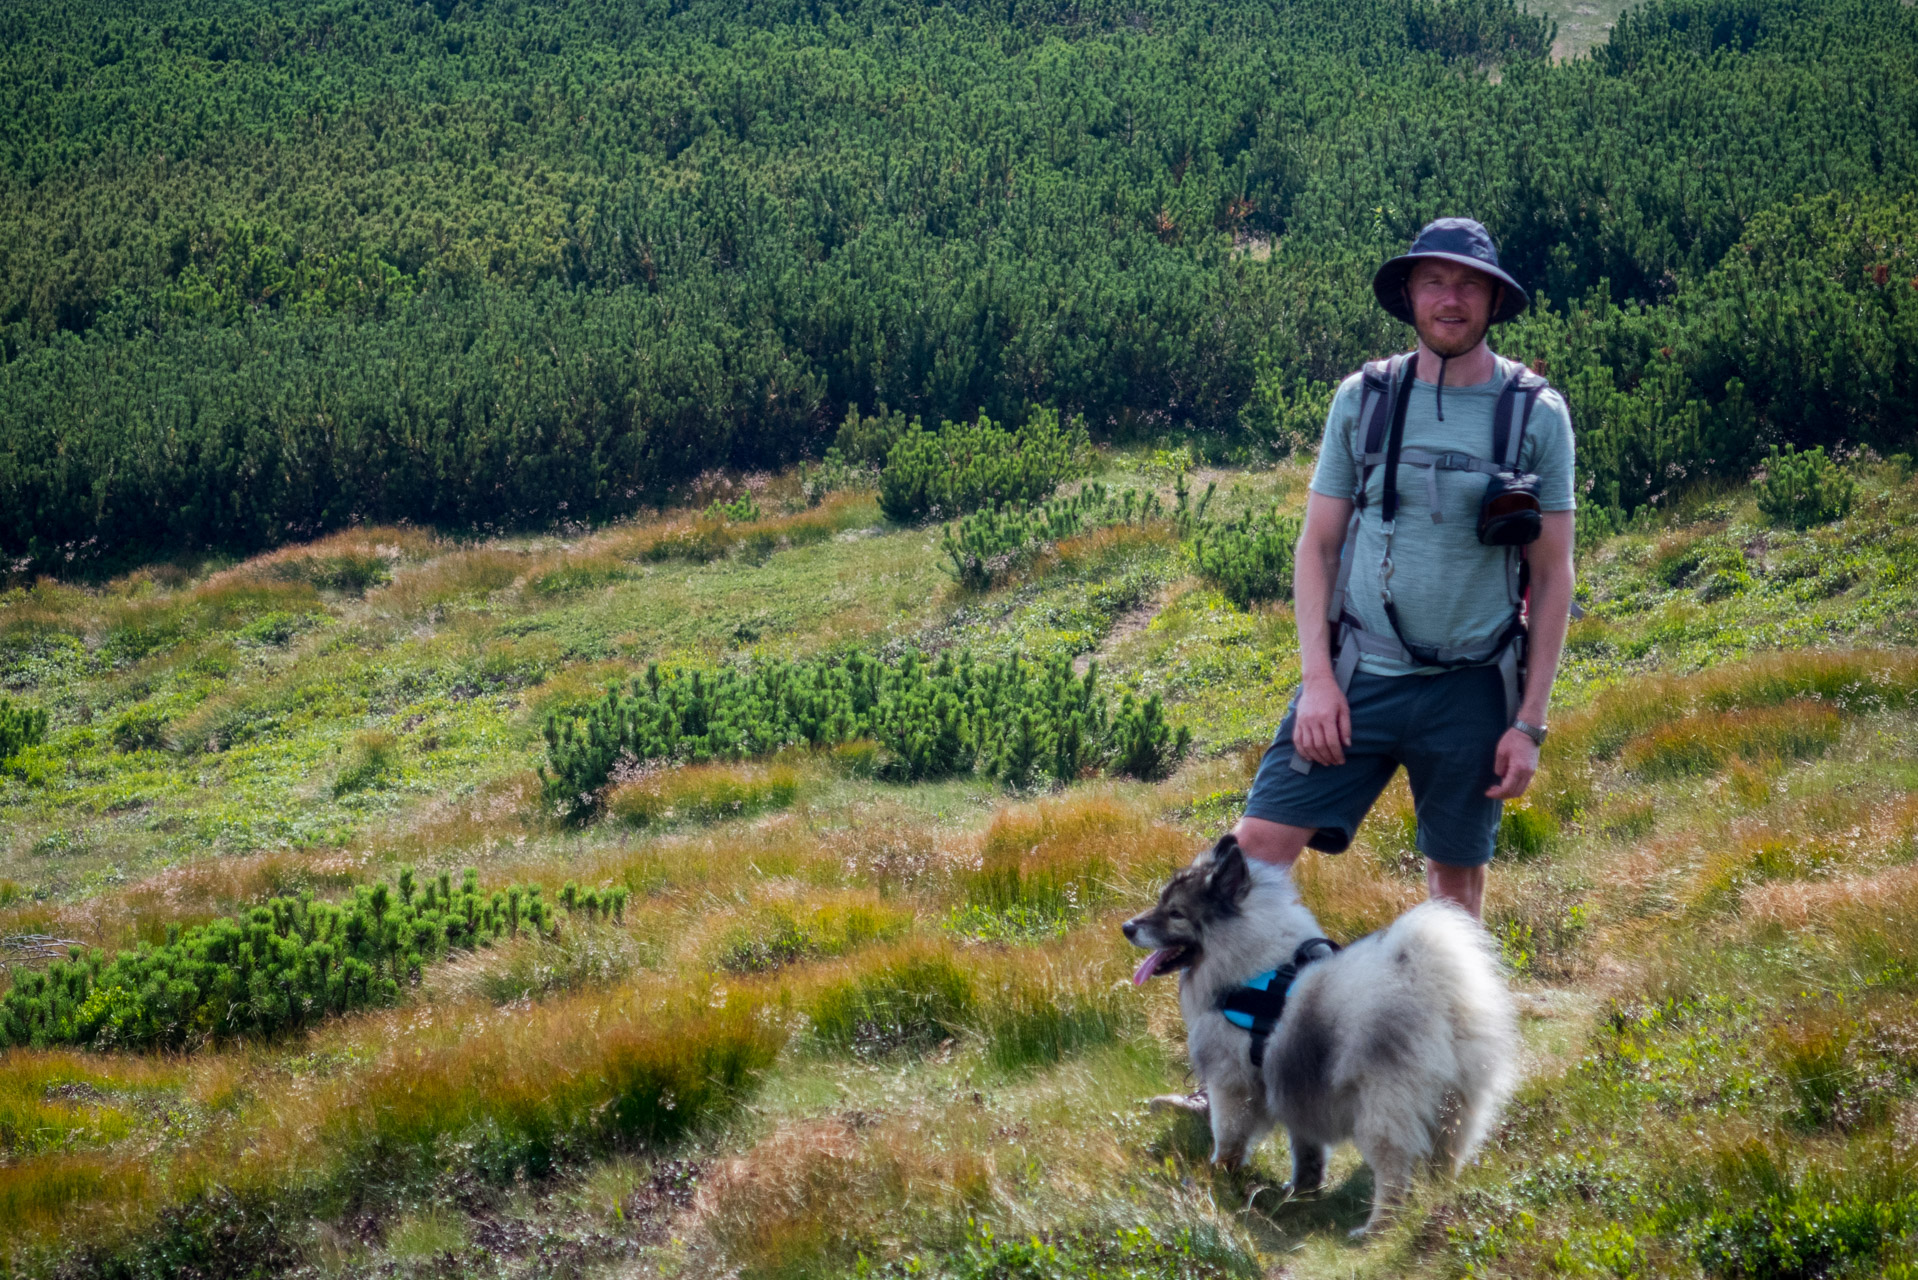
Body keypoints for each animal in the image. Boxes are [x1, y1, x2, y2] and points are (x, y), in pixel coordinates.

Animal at [1120, 836, 1511, 1235]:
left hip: (1383, 1107)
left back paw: (1377, 1228)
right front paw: (1302, 1187)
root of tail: (1433, 987)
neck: (1250, 969)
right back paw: (1433, 1202)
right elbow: (1305, 1145)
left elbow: (1228, 1136)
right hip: (1456, 1106)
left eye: (1176, 913)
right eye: (1162, 904)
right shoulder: (1293, 1082)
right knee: (1444, 1159)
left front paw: (1216, 1174)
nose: (1127, 927)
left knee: (1393, 1172)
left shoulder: (1231, 1085)